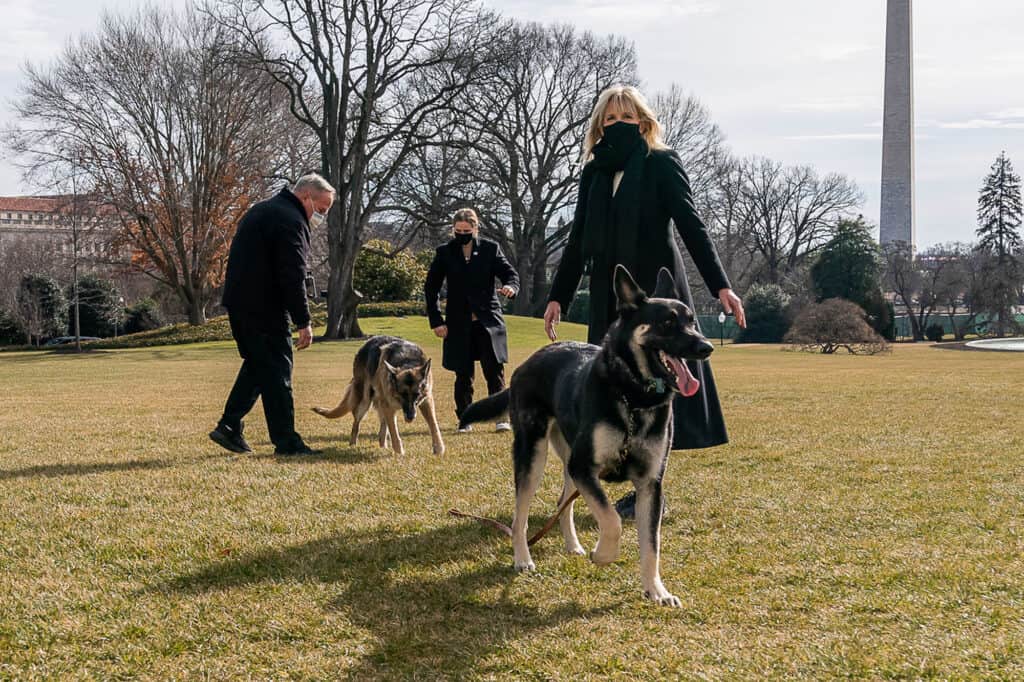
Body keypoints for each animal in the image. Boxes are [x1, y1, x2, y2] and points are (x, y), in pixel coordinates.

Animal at [313, 333, 446, 454]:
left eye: (417, 394)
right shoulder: (389, 406)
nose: (410, 417)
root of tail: (367, 342)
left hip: (381, 404)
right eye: (402, 394)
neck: (407, 362)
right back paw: (353, 444)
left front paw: (439, 449)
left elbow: (434, 425)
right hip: (365, 401)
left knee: (382, 427)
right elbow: (394, 432)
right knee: (356, 424)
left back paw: (383, 446)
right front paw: (399, 453)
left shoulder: (426, 401)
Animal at [458, 262, 712, 602]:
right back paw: (523, 558)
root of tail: (530, 360)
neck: (633, 395)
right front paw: (603, 554)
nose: (706, 347)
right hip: (533, 455)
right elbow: (612, 520)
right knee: (519, 516)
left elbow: (651, 545)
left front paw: (656, 590)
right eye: (667, 323)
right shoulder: (585, 467)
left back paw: (573, 545)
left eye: (692, 322)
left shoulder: (650, 483)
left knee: (561, 501)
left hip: (567, 458)